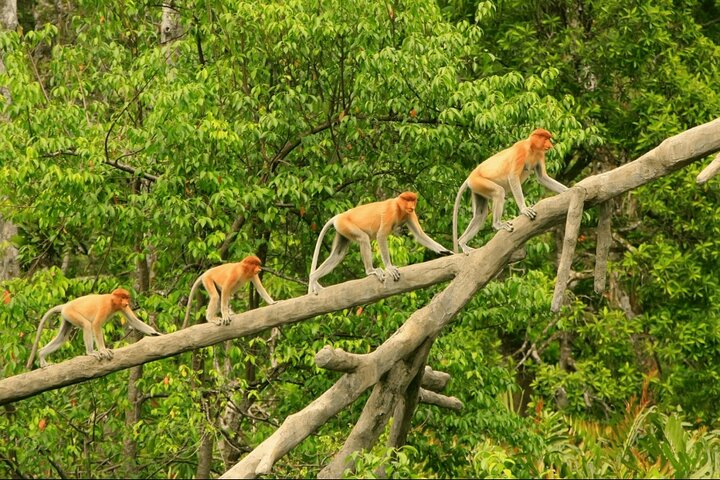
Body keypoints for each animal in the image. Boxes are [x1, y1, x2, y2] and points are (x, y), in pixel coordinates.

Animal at [26, 286, 161, 370]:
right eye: (122, 297)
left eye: (127, 298)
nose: (127, 302)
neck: (112, 301)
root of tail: (65, 305)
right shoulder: (105, 306)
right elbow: (96, 325)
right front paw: (103, 350)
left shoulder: (122, 307)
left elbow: (134, 321)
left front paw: (157, 334)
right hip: (71, 313)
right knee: (87, 325)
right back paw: (90, 352)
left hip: (67, 316)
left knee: (62, 337)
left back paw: (41, 354)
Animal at [306, 190, 452, 294]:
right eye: (407, 200)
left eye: (413, 200)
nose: (412, 206)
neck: (399, 206)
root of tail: (339, 215)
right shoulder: (390, 211)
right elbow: (381, 236)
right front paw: (389, 268)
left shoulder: (410, 214)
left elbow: (420, 235)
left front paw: (445, 251)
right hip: (345, 225)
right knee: (363, 239)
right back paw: (371, 271)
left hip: (341, 230)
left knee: (338, 254)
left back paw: (313, 278)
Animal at [456, 127, 568, 255]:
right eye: (546, 138)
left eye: (549, 138)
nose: (550, 144)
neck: (532, 147)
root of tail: (470, 177)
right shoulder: (521, 150)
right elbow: (513, 177)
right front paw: (524, 210)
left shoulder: (540, 154)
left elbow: (542, 177)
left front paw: (568, 190)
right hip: (479, 182)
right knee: (499, 192)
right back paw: (497, 225)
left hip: (477, 189)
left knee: (480, 214)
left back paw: (462, 242)